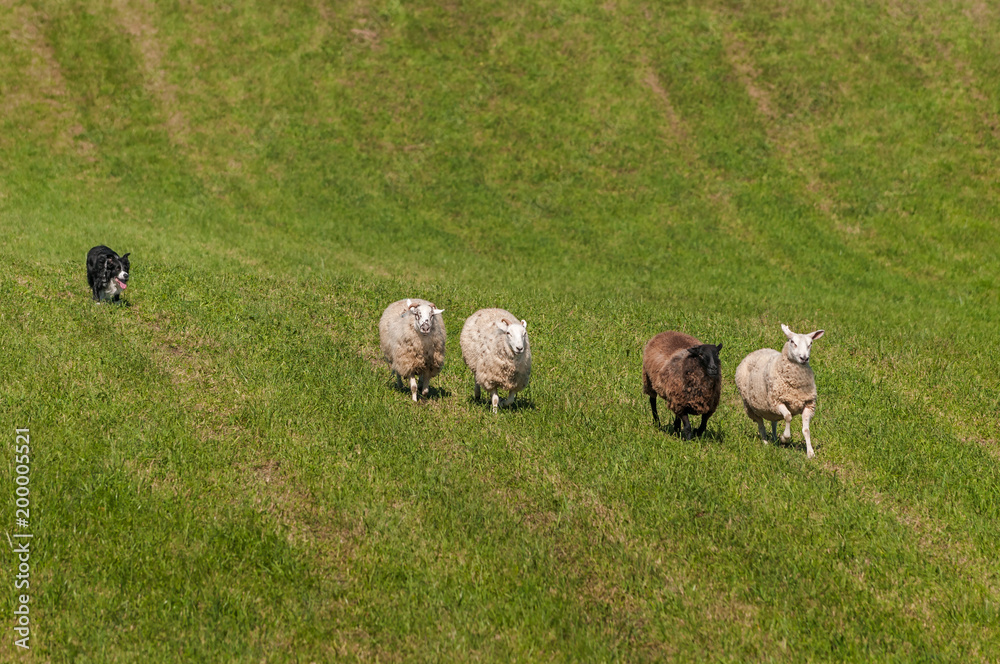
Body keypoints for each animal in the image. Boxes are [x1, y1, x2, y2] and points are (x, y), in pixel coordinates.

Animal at [734, 324, 825, 458]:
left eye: (810, 343)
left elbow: (806, 430)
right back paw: (766, 442)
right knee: (761, 425)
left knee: (774, 422)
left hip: (771, 410)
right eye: (792, 342)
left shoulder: (808, 404)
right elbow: (788, 417)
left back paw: (774, 439)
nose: (804, 358)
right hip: (752, 406)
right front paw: (785, 438)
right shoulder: (777, 401)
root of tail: (757, 350)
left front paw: (810, 453)